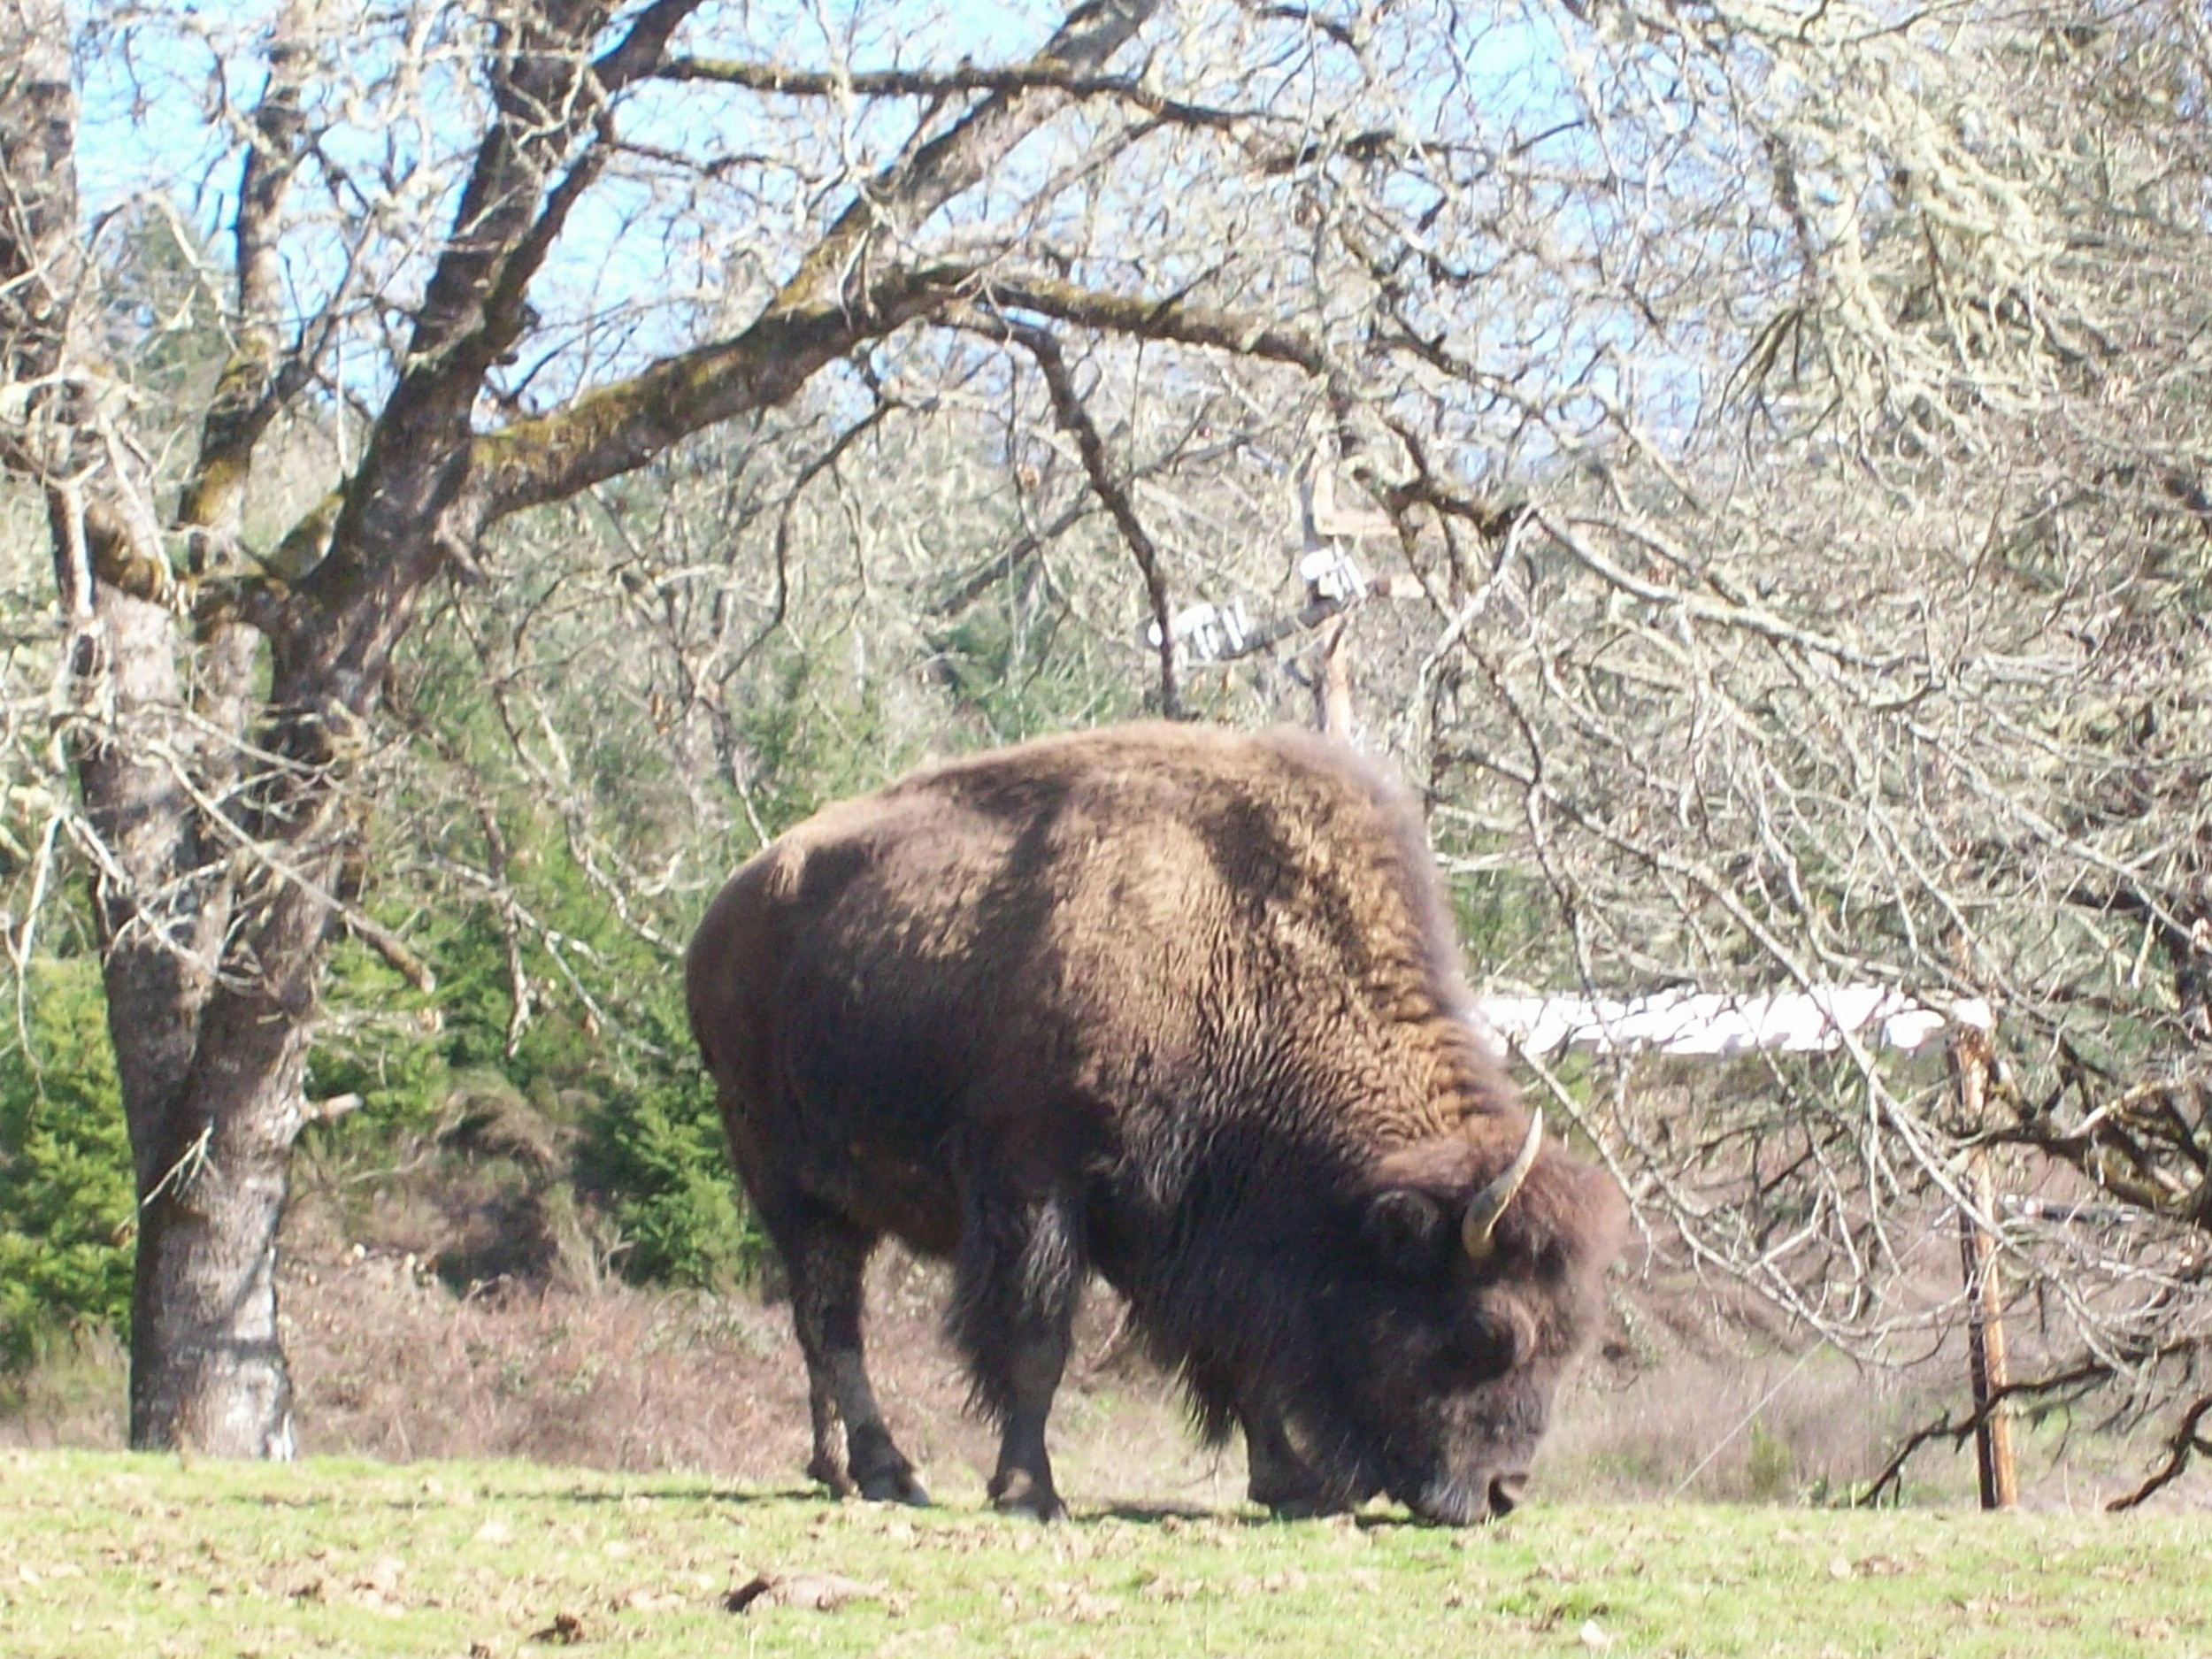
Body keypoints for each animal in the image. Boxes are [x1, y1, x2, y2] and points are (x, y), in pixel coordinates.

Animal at [685, 723, 1625, 1521]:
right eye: (1488, 1330)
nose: (1502, 1493)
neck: (1235, 955)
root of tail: (725, 912)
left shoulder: (1184, 1226)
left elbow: (1237, 1356)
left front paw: (1296, 1485)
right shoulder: (1039, 1189)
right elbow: (1038, 1345)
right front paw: (1029, 1492)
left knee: (818, 1325)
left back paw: (835, 1469)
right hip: (792, 1187)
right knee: (834, 1323)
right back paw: (890, 1471)